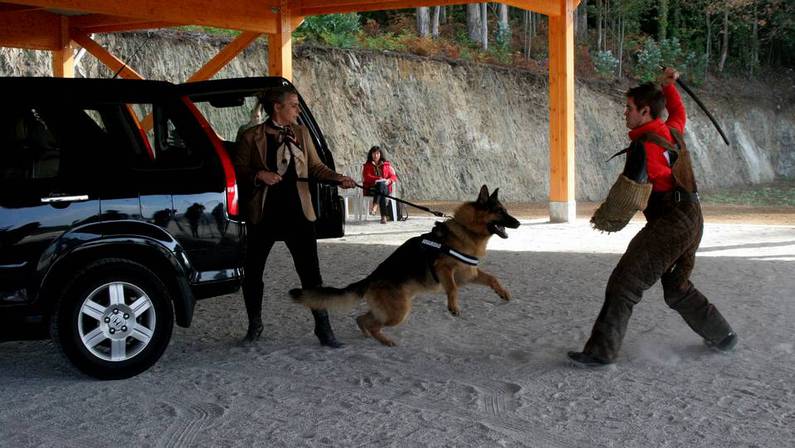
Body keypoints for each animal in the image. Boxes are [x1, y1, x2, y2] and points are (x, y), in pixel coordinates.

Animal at [292, 186, 524, 346]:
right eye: (500, 211)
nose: (519, 223)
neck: (466, 229)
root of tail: (370, 278)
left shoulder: (469, 274)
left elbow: (493, 278)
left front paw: (503, 293)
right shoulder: (445, 269)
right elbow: (452, 289)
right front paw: (453, 306)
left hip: (395, 309)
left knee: (362, 319)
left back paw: (371, 336)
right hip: (400, 312)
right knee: (371, 323)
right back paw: (385, 341)